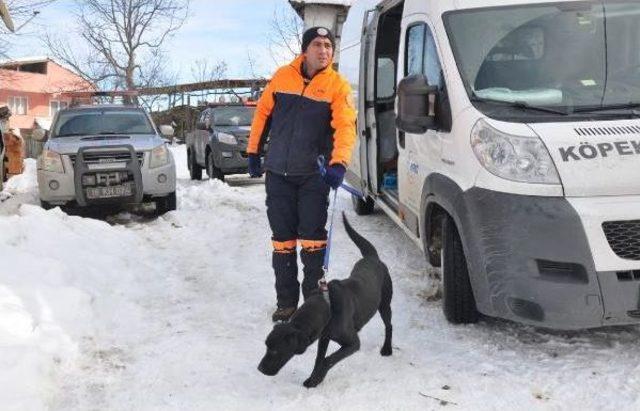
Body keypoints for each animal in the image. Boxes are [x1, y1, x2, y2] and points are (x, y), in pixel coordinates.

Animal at [258, 214, 392, 388]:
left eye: (274, 350)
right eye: (266, 346)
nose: (259, 369)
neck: (329, 307)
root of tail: (372, 257)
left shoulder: (353, 344)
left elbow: (328, 360)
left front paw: (317, 378)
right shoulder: (324, 337)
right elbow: (319, 358)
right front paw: (313, 379)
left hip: (385, 304)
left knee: (389, 325)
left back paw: (387, 349)